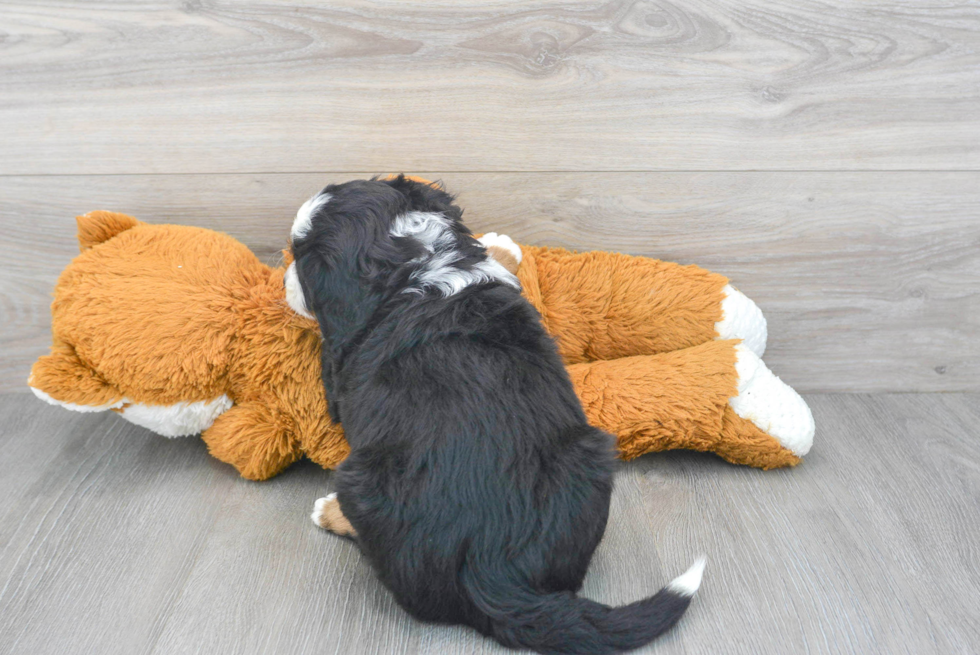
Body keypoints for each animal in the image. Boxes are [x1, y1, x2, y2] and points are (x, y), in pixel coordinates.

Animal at [288, 177, 700, 652]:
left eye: (299, 260)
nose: (282, 279)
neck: (412, 263)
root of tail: (489, 567)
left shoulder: (337, 372)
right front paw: (502, 244)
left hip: (360, 481)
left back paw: (330, 511)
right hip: (591, 458)